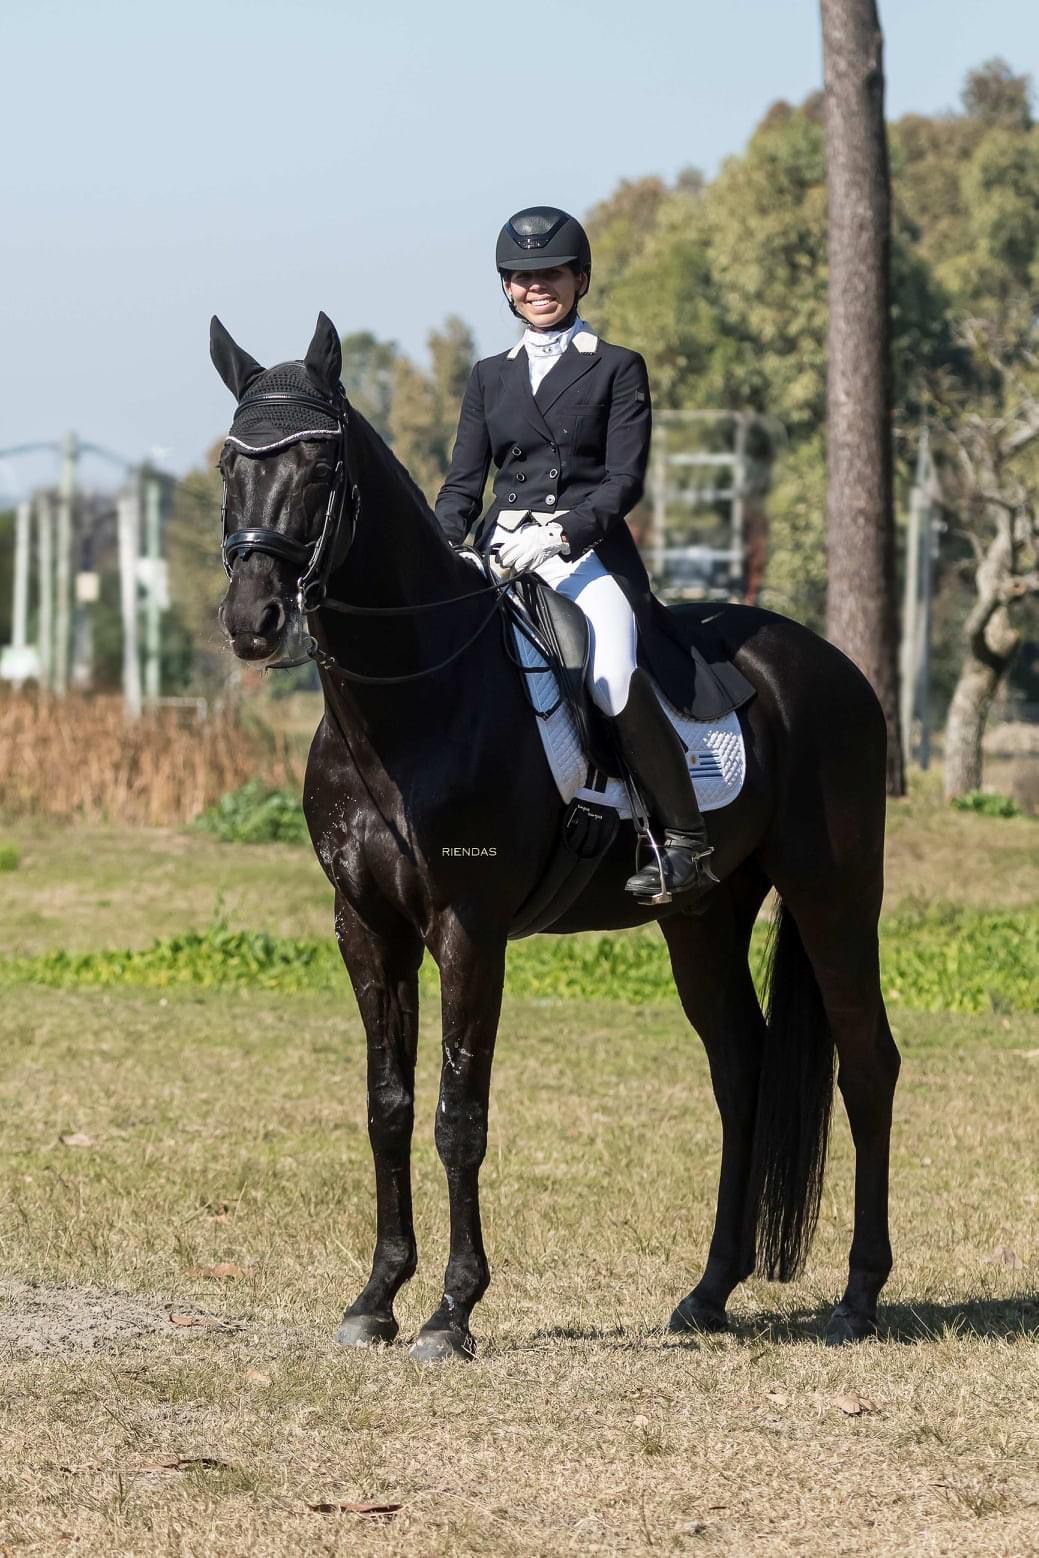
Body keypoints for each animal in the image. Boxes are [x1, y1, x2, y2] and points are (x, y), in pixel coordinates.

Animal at [211, 312, 900, 1363]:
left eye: (321, 464)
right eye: (230, 464)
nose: (254, 620)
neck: (412, 700)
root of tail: (829, 663)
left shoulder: (468, 929)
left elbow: (458, 1116)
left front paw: (451, 1313)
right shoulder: (365, 927)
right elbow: (387, 1108)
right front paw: (376, 1298)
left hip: (834, 894)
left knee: (865, 1060)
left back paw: (858, 1299)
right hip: (701, 917)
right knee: (739, 1067)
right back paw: (708, 1293)